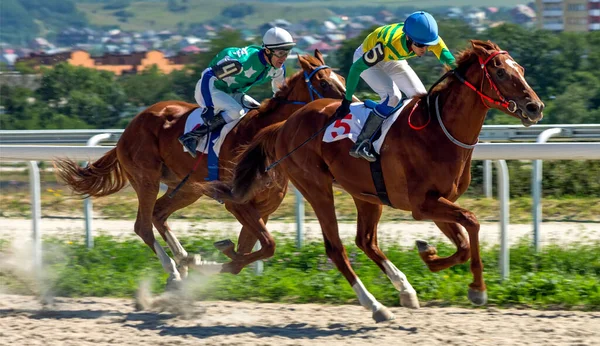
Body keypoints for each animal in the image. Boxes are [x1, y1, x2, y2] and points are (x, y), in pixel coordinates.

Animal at [54, 50, 350, 290]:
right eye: (324, 83)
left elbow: (252, 251)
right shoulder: (236, 202)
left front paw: (210, 262)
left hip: (186, 187)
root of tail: (128, 130)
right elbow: (265, 246)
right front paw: (209, 262)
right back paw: (174, 271)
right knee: (143, 225)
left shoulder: (263, 207)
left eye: (342, 79)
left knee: (159, 214)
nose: (349, 105)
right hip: (146, 178)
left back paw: (184, 259)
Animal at [219, 39, 544, 322]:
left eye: (521, 69)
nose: (535, 107)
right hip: (316, 187)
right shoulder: (422, 205)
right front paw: (477, 289)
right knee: (336, 248)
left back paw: (405, 289)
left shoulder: (440, 202)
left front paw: (429, 255)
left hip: (366, 194)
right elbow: (473, 222)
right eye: (501, 72)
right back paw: (376, 306)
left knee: (365, 241)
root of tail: (285, 123)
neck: (439, 131)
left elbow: (464, 242)